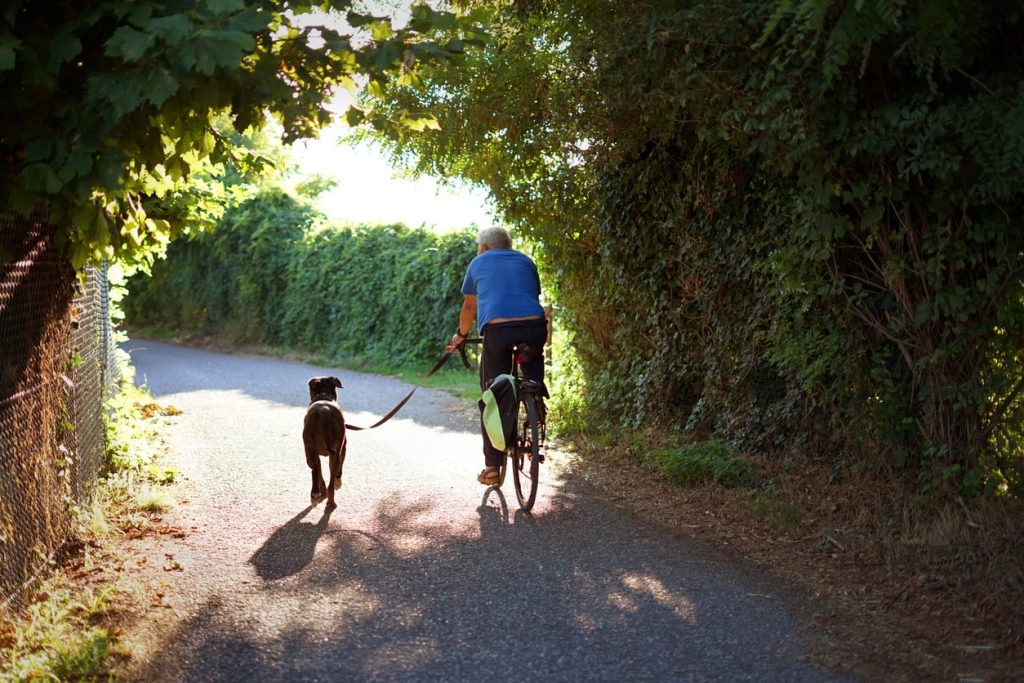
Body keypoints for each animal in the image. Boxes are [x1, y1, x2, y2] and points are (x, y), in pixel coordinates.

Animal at [303, 376, 348, 509]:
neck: (323, 397)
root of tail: (324, 410)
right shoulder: (343, 448)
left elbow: (320, 473)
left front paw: (322, 492)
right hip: (335, 453)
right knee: (330, 481)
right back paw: (328, 501)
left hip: (309, 451)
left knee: (315, 471)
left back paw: (316, 495)